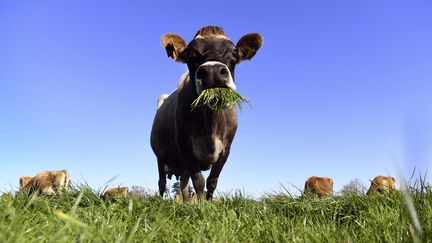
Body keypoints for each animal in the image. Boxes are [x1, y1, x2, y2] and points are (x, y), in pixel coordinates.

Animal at [148, 25, 264, 202]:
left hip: (182, 167)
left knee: (183, 186)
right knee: (162, 182)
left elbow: (212, 181)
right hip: (160, 156)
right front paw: (202, 205)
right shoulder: (185, 145)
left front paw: (208, 204)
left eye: (234, 53)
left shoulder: (225, 149)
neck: (210, 125)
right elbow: (199, 181)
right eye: (190, 54)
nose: (212, 71)